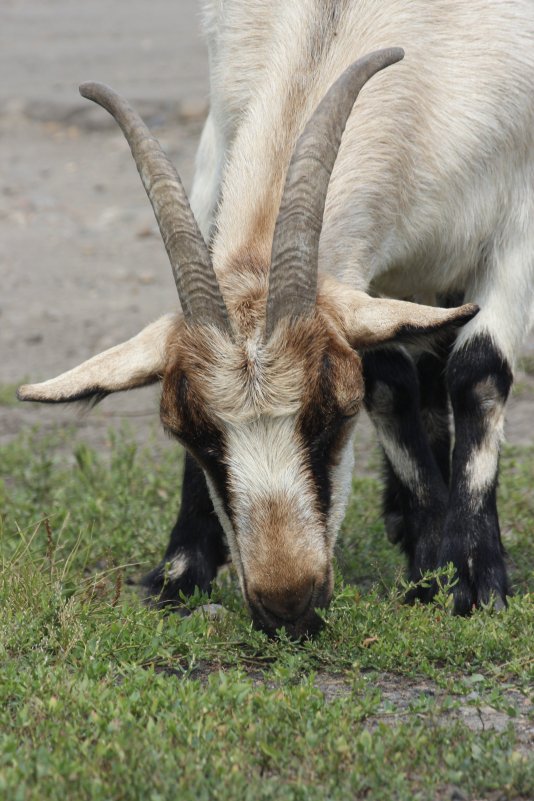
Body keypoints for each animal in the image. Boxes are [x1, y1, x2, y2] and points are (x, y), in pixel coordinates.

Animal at [17, 0, 534, 636]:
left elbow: (477, 372)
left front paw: (469, 578)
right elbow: (391, 383)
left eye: (334, 417)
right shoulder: (224, 152)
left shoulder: (519, 221)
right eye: (190, 432)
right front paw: (179, 570)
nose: (288, 602)